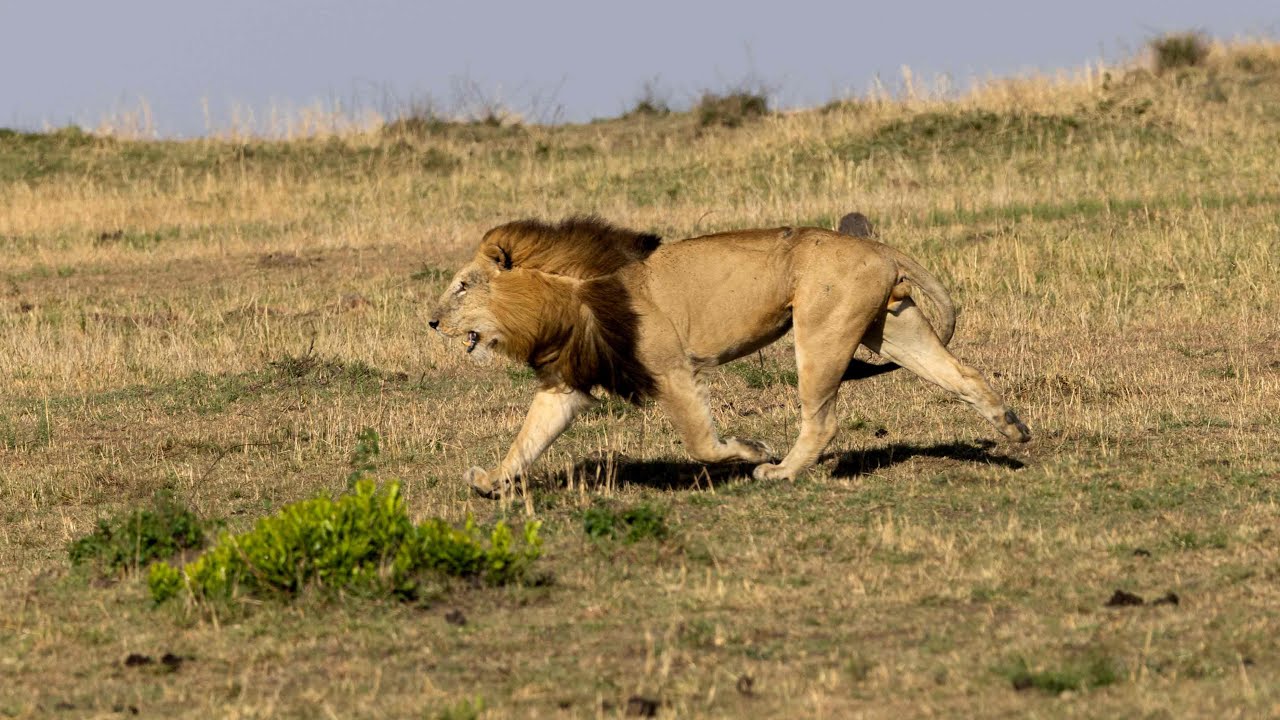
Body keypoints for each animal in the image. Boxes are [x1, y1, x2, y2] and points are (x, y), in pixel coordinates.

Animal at [428, 216, 1030, 496]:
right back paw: (1012, 427)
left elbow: (701, 442)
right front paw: (489, 482)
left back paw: (781, 471)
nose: (431, 322)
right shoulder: (569, 381)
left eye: (462, 286)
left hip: (820, 332)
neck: (564, 296)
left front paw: (751, 450)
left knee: (823, 420)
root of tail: (878, 246)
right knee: (962, 374)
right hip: (895, 328)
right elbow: (528, 438)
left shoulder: (672, 368)